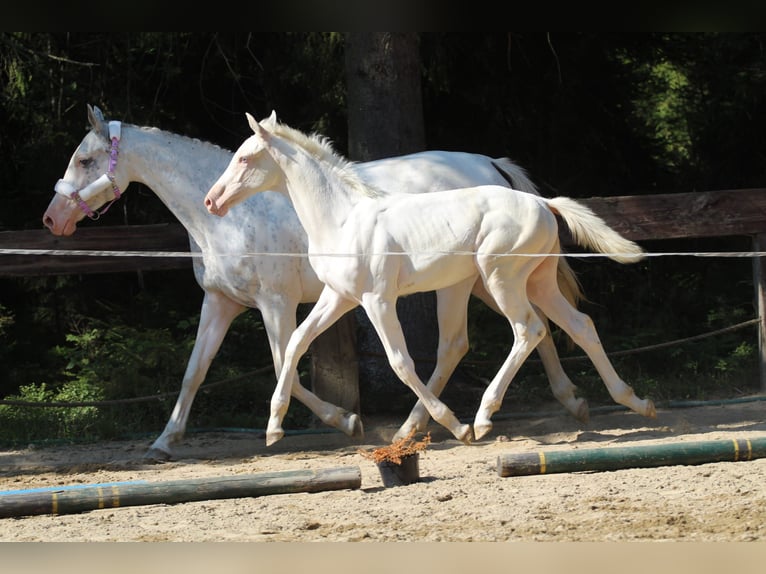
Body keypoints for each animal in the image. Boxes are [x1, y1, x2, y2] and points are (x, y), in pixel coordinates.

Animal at [45, 104, 588, 460]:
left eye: (86, 160)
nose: (53, 219)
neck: (233, 217)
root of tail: (491, 165)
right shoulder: (220, 302)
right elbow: (195, 371)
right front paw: (164, 441)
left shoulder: (276, 303)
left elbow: (282, 361)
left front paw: (341, 420)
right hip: (480, 281)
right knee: (536, 327)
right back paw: (564, 402)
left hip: (470, 282)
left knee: (494, 336)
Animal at [206, 111, 660, 446]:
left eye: (244, 158)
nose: (212, 200)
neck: (342, 218)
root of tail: (542, 202)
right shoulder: (338, 297)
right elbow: (296, 344)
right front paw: (274, 428)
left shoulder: (377, 300)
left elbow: (400, 362)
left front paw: (456, 426)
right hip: (536, 281)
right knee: (579, 325)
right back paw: (635, 403)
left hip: (500, 280)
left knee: (527, 329)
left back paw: (482, 417)